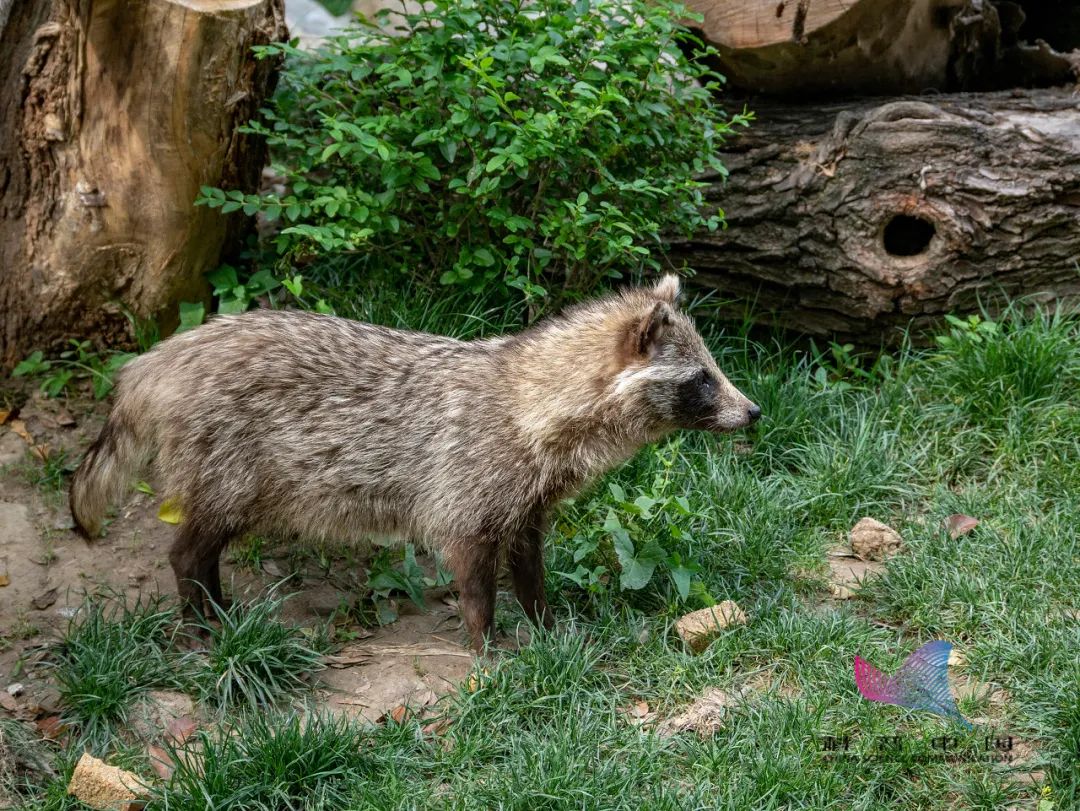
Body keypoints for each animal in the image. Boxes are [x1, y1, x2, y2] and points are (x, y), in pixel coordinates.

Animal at [69, 276, 760, 652]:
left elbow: (530, 572)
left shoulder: (525, 504)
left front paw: (547, 627)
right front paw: (487, 652)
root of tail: (158, 359)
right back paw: (201, 618)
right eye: (702, 379)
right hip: (231, 467)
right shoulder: (466, 494)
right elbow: (476, 587)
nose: (753, 412)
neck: (528, 399)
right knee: (189, 550)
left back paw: (218, 608)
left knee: (206, 548)